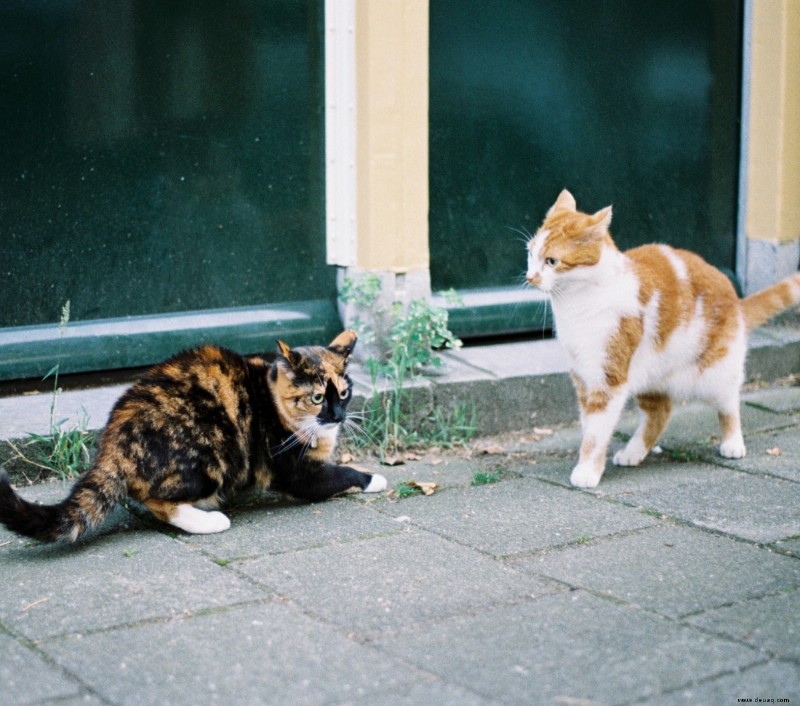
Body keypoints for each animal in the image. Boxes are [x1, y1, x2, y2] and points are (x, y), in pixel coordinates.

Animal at [0, 328, 388, 540]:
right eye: (317, 397)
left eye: (344, 393)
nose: (338, 416)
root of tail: (113, 446)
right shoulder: (297, 471)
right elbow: (339, 475)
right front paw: (376, 478)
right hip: (210, 454)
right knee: (158, 502)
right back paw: (210, 519)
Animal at [524, 190, 800, 486]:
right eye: (530, 253)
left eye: (551, 261)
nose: (530, 277)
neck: (577, 305)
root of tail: (736, 299)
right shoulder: (583, 376)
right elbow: (590, 425)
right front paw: (591, 463)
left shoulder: (608, 379)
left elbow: (596, 433)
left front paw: (587, 471)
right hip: (651, 374)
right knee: (660, 412)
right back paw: (633, 453)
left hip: (715, 371)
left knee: (729, 403)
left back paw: (733, 443)